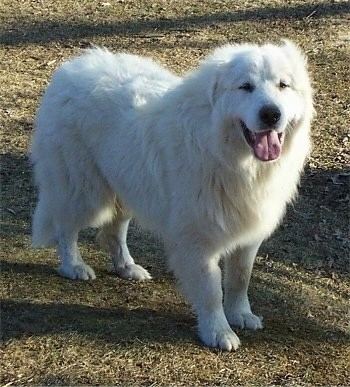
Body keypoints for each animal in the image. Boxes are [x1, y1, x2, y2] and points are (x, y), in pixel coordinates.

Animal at [31, 41, 314, 352]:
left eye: (283, 85)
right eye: (245, 87)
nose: (271, 114)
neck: (226, 154)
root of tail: (71, 68)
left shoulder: (248, 236)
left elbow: (240, 278)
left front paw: (241, 314)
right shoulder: (197, 241)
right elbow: (211, 291)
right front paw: (218, 332)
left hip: (128, 185)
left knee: (111, 233)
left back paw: (127, 267)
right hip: (85, 191)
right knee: (66, 227)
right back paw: (74, 266)